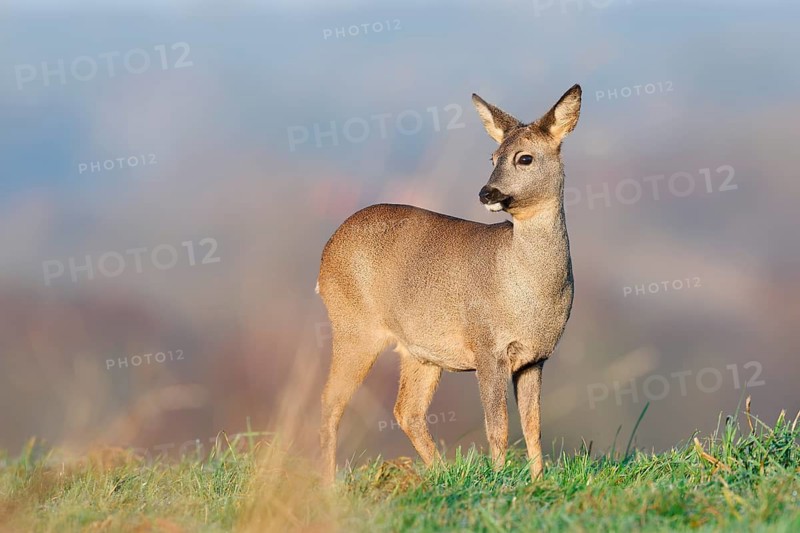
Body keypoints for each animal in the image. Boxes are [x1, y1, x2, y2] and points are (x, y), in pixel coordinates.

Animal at [316, 84, 581, 484]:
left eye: (525, 158)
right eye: (492, 156)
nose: (487, 193)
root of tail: (324, 256)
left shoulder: (536, 358)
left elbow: (533, 425)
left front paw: (538, 482)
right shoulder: (487, 345)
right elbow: (497, 425)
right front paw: (500, 481)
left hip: (419, 350)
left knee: (406, 411)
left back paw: (440, 473)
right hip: (354, 326)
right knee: (331, 401)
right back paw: (329, 485)